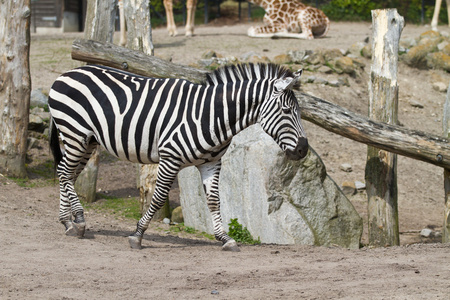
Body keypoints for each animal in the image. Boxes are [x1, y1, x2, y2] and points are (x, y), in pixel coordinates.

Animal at [49, 62, 310, 251]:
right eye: (287, 111)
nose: (303, 150)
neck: (211, 116)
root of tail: (68, 72)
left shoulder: (211, 163)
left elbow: (214, 201)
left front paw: (225, 238)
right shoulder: (170, 159)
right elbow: (157, 198)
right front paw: (137, 235)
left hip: (88, 141)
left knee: (67, 174)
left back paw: (68, 223)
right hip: (75, 134)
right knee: (64, 172)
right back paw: (79, 220)